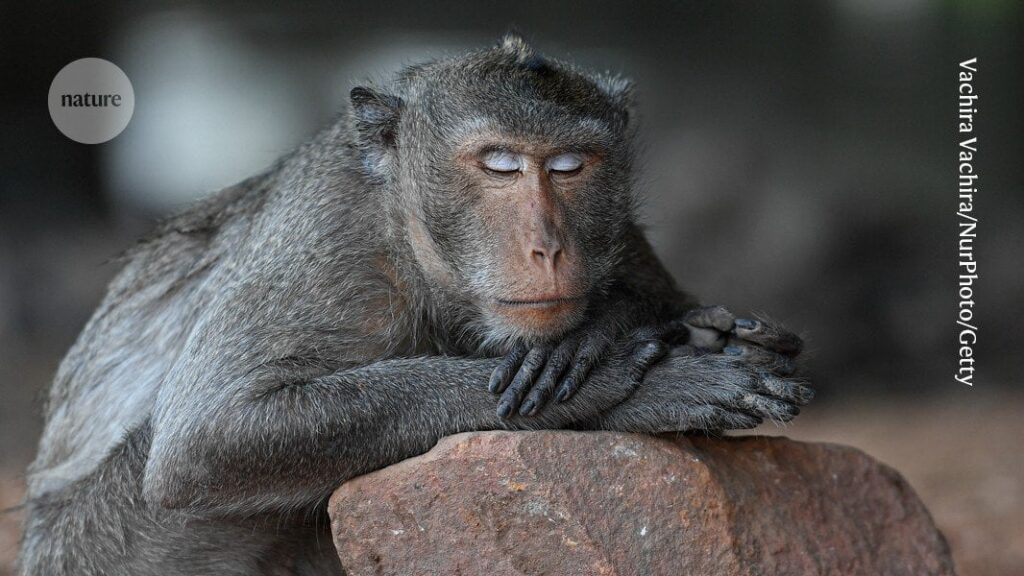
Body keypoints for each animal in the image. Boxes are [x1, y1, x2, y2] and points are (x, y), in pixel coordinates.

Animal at [18, 34, 810, 576]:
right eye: (500, 165)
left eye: (568, 166)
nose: (548, 247)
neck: (416, 244)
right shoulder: (329, 235)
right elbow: (204, 441)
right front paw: (627, 378)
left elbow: (664, 293)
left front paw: (620, 329)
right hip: (98, 547)